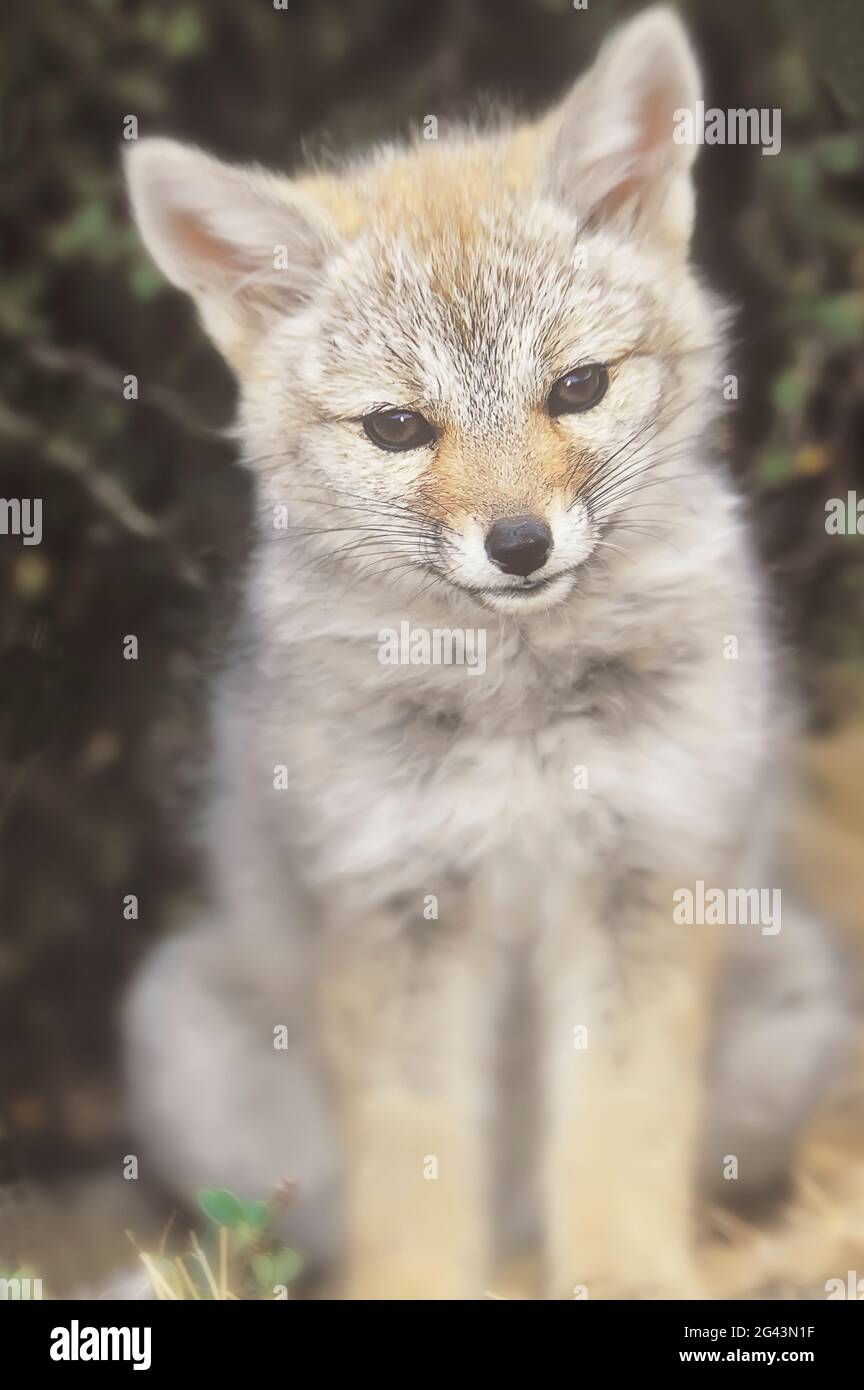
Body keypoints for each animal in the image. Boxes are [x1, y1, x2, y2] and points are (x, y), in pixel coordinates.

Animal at [123, 8, 853, 1299]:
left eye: (579, 387)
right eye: (399, 427)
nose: (519, 545)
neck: (519, 710)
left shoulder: (645, 880)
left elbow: (619, 1136)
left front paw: (627, 1278)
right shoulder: (395, 910)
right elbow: (416, 1171)